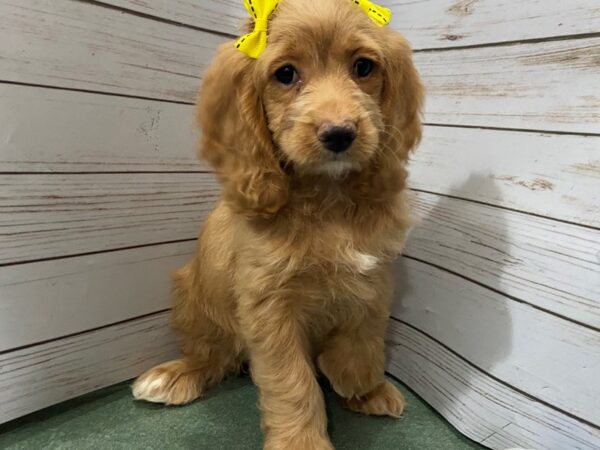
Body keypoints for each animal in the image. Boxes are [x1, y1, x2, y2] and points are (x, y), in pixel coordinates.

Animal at [132, 0, 422, 448]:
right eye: (285, 74)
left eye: (363, 67)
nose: (339, 134)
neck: (327, 196)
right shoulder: (269, 303)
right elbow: (292, 379)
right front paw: (302, 442)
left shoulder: (376, 273)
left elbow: (365, 329)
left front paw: (358, 380)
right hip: (193, 299)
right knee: (211, 354)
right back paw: (175, 375)